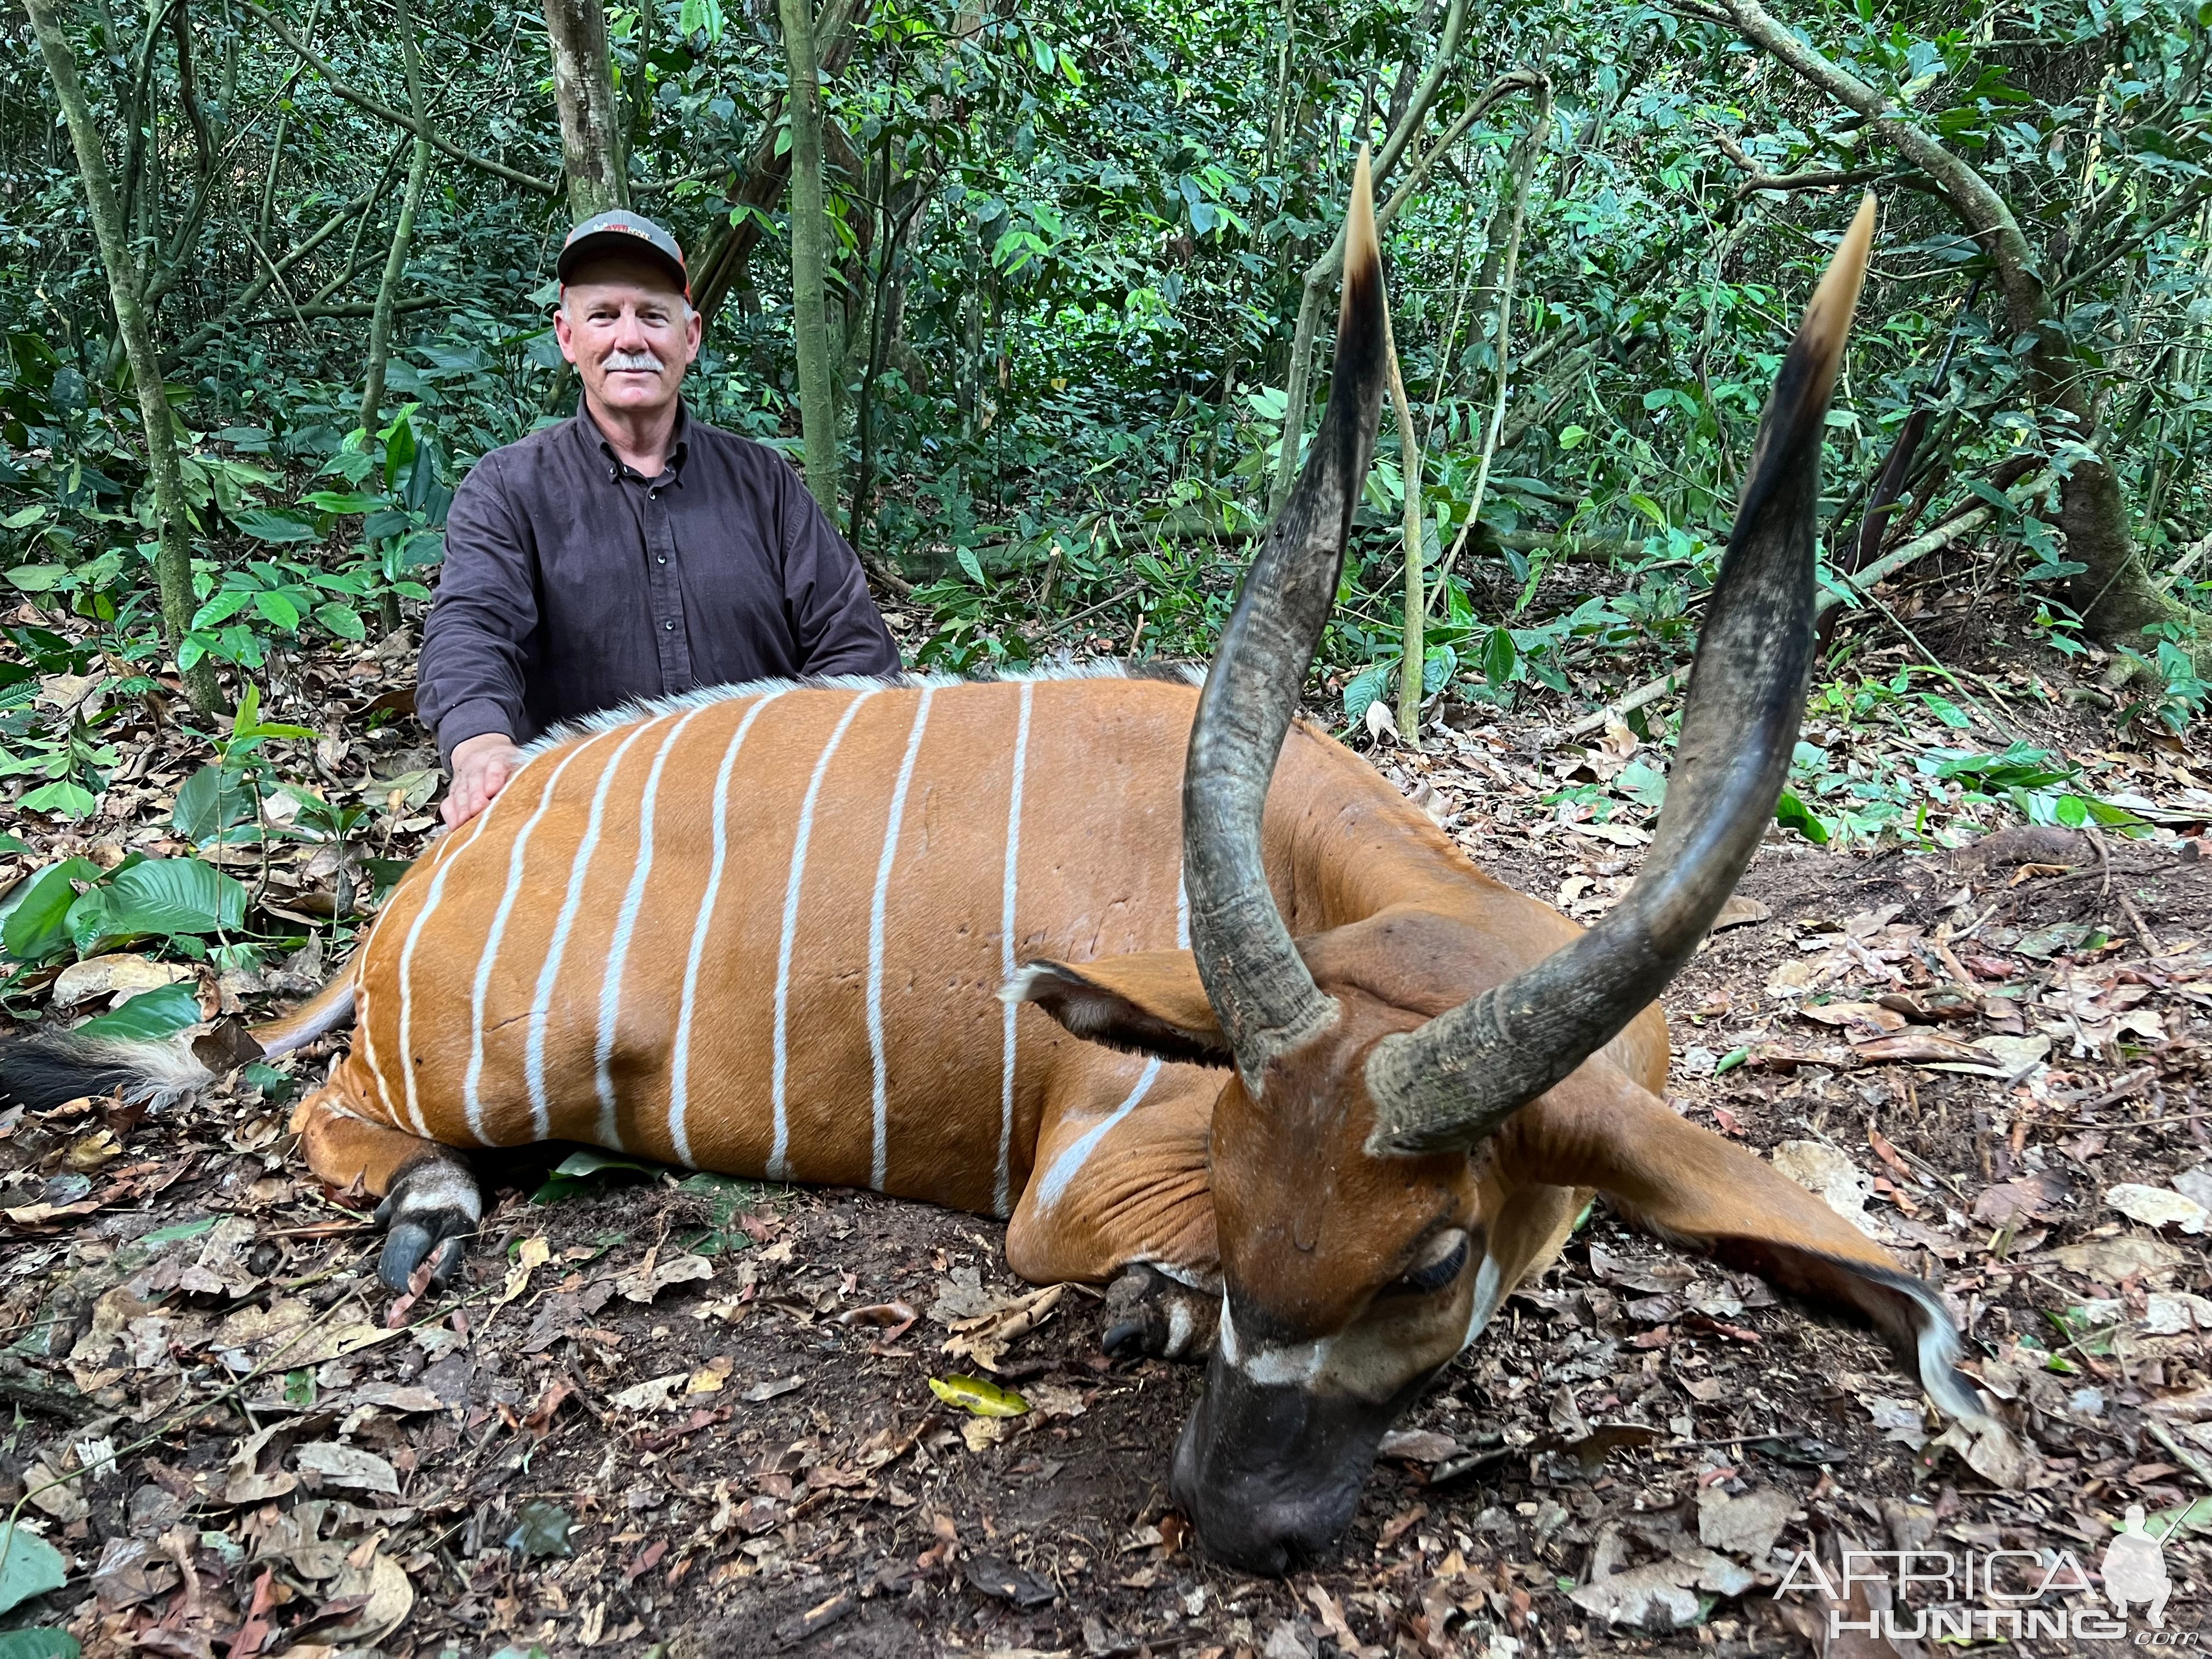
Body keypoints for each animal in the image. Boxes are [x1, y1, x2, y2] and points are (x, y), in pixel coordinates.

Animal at [0, 162, 1973, 1575]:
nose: (1235, 1523)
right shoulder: (1089, 1175)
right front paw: (1152, 1309)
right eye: (1235, 1192)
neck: (1381, 897)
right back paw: (430, 1203)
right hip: (471, 1062)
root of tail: (432, 875)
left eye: (1425, 1260)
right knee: (327, 1114)